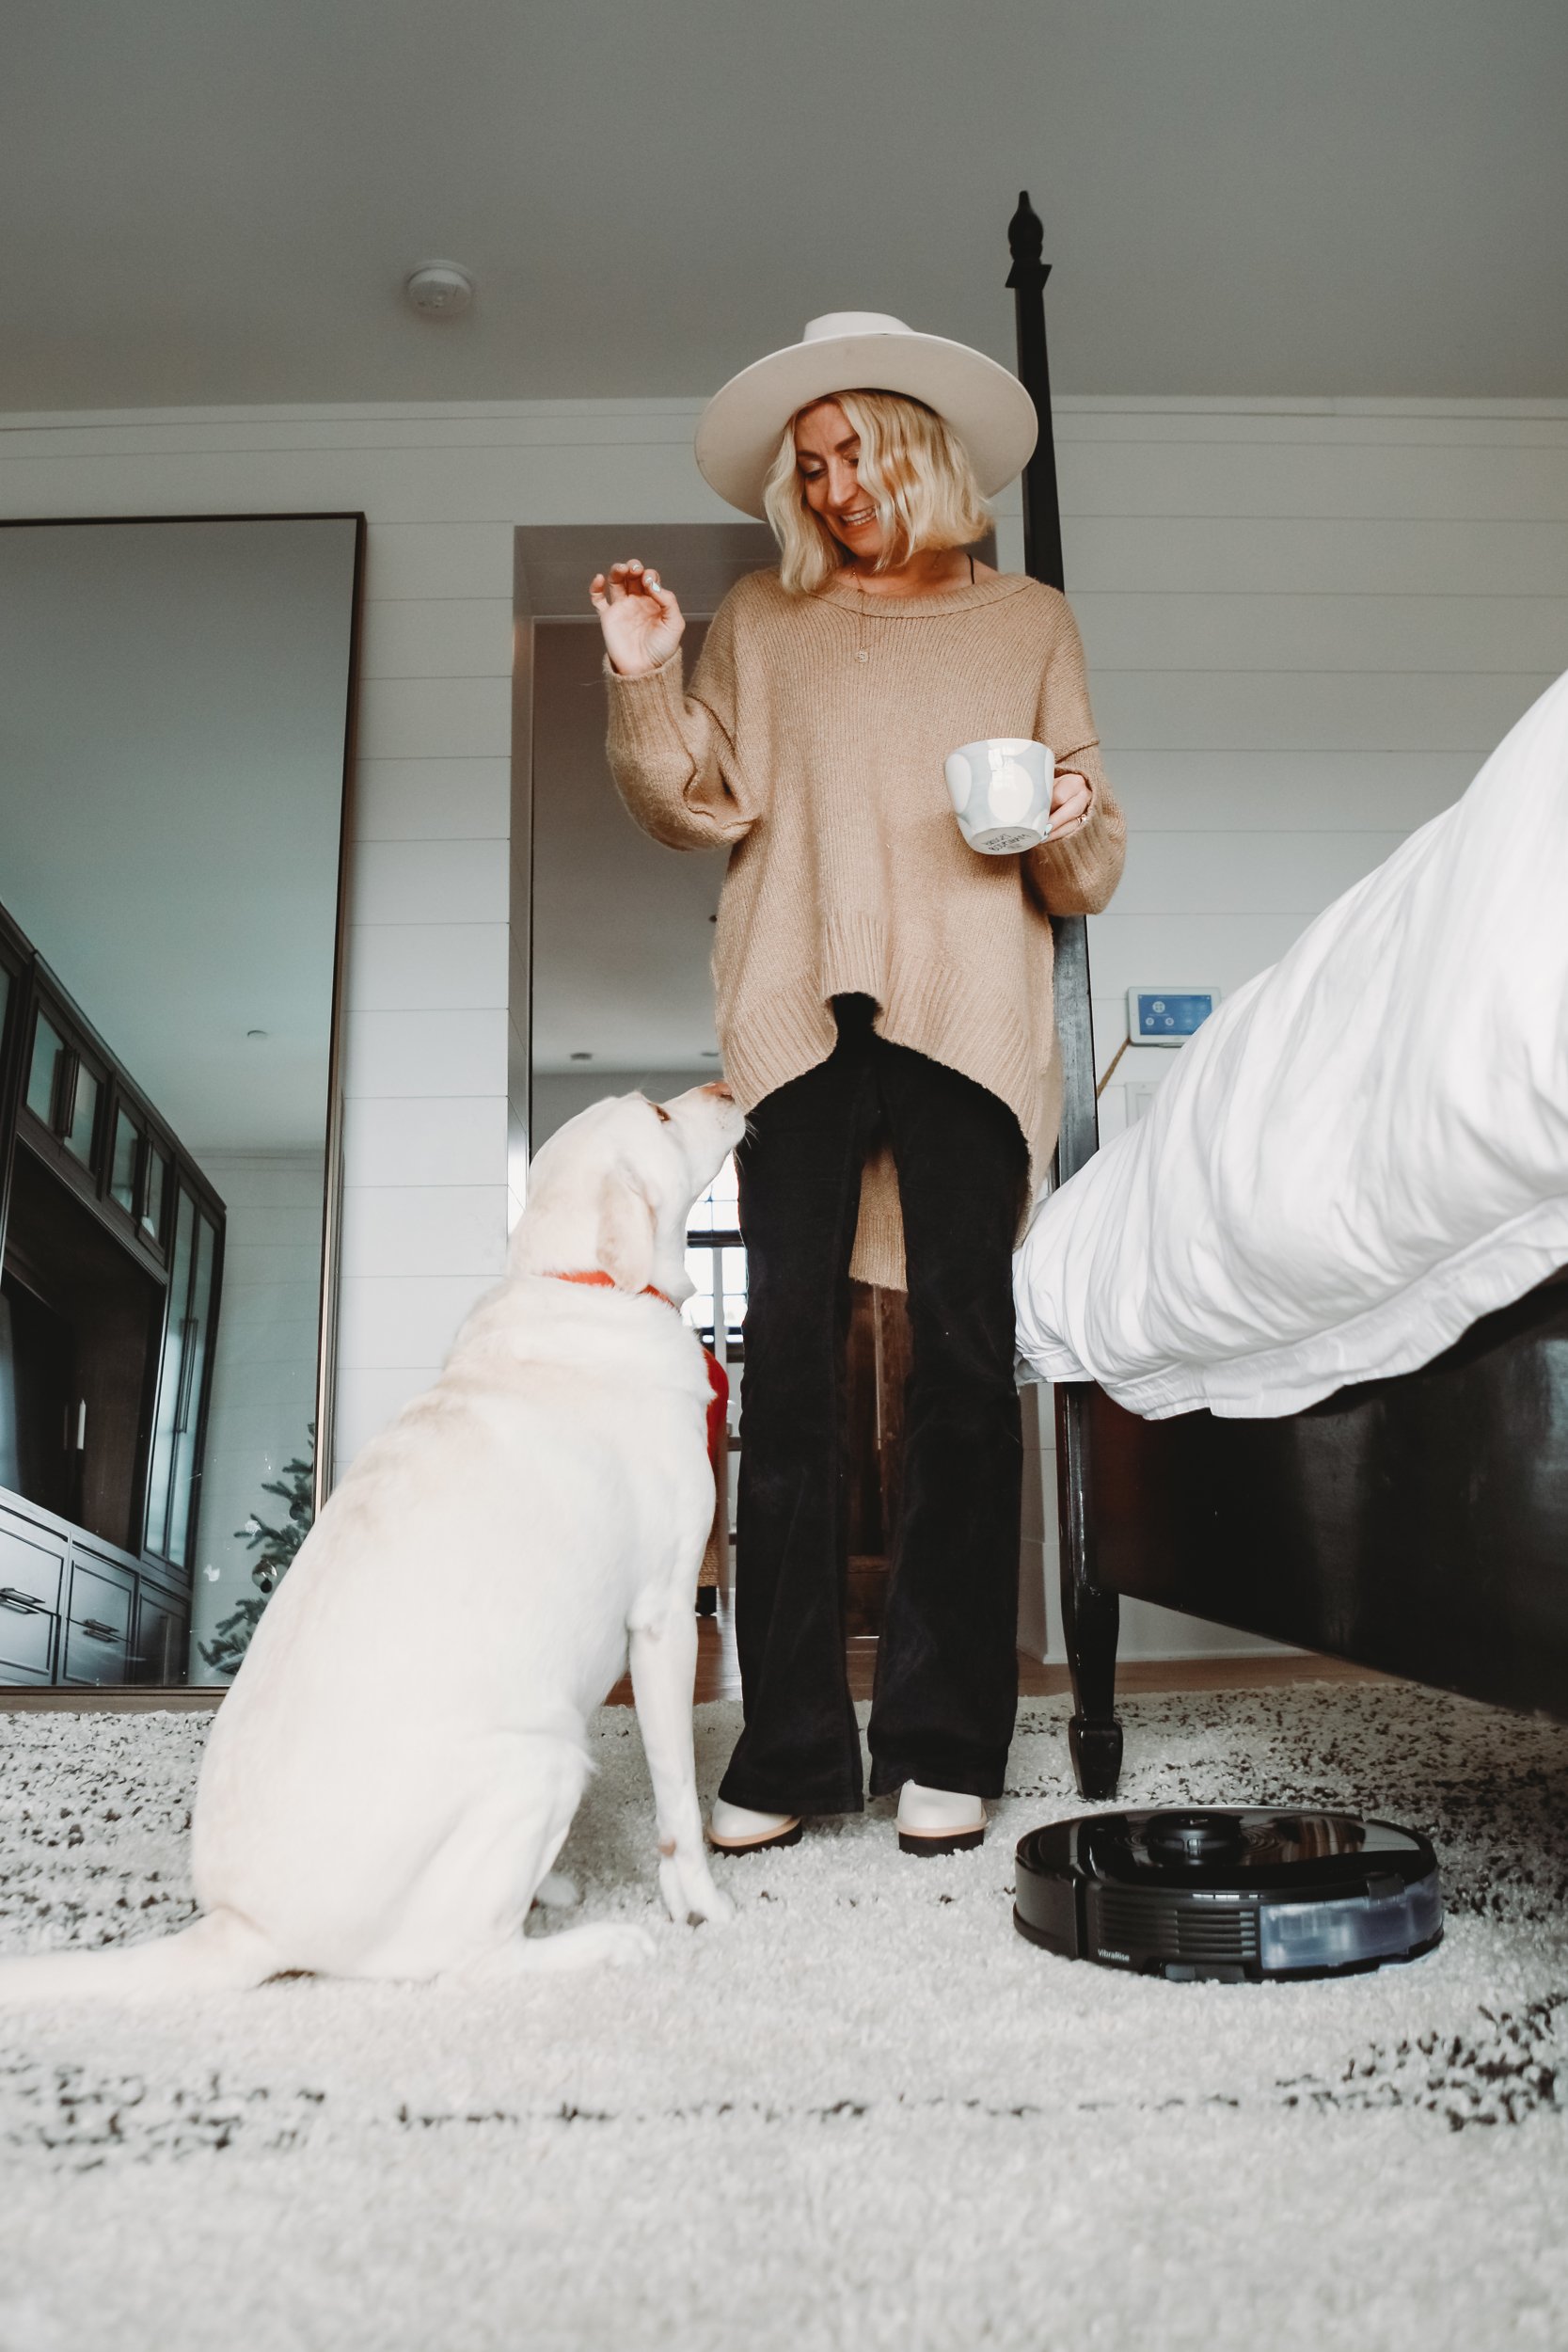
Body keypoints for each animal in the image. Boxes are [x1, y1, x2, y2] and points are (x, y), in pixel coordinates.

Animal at [0, 1082, 747, 2004]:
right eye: (662, 1118)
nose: (723, 1088)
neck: (584, 1285)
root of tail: (243, 1928)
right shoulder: (665, 1618)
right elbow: (678, 1799)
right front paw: (702, 1907)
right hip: (544, 1756)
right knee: (464, 1959)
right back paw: (598, 1942)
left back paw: (554, 1889)